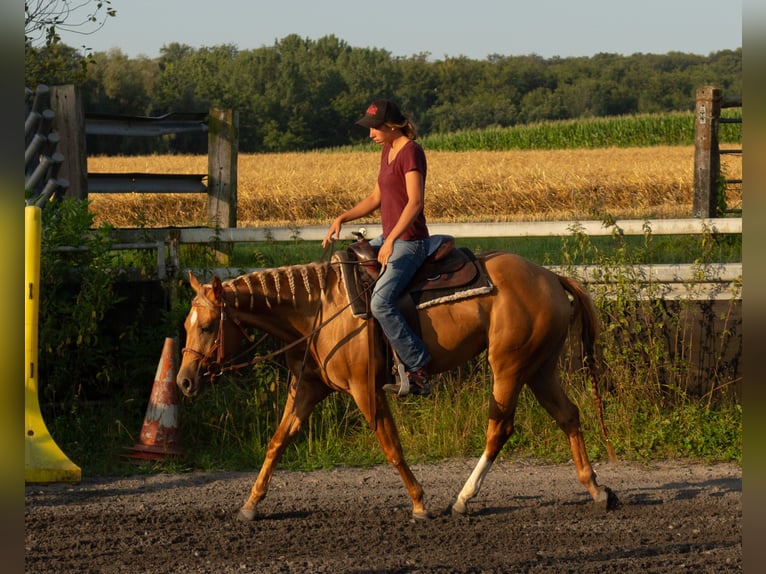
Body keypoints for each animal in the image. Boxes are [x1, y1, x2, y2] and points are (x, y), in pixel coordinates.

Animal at [177, 245, 620, 524]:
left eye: (206, 326)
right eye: (186, 324)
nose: (183, 381)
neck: (319, 309)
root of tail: (550, 277)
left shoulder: (365, 391)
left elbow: (391, 447)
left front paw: (421, 504)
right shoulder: (307, 388)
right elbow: (278, 441)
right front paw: (251, 505)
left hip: (509, 367)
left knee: (500, 428)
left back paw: (463, 499)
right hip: (539, 368)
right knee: (568, 416)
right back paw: (597, 490)